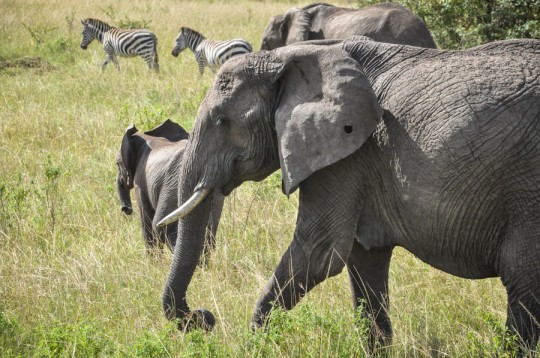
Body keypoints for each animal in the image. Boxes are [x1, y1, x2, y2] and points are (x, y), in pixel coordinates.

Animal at [115, 119, 225, 255]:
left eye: (117, 164)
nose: (126, 209)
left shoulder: (140, 181)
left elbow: (147, 224)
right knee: (209, 232)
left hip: (174, 188)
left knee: (161, 227)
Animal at [158, 37, 540, 356]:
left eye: (222, 121)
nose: (204, 317)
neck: (287, 57)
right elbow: (364, 260)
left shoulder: (345, 153)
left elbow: (318, 252)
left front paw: (254, 347)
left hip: (526, 191)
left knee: (522, 280)